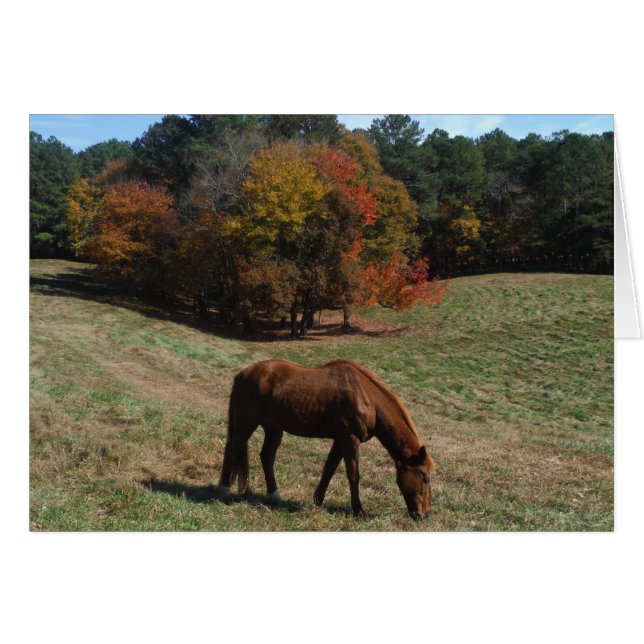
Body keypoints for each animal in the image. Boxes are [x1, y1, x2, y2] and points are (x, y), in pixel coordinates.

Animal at [218, 359, 436, 520]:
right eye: (424, 477)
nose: (424, 515)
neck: (366, 397)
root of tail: (242, 375)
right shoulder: (349, 439)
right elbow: (353, 475)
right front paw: (358, 510)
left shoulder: (340, 441)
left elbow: (329, 470)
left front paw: (317, 501)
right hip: (246, 424)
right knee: (232, 450)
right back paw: (224, 490)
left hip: (273, 429)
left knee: (266, 457)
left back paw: (275, 495)